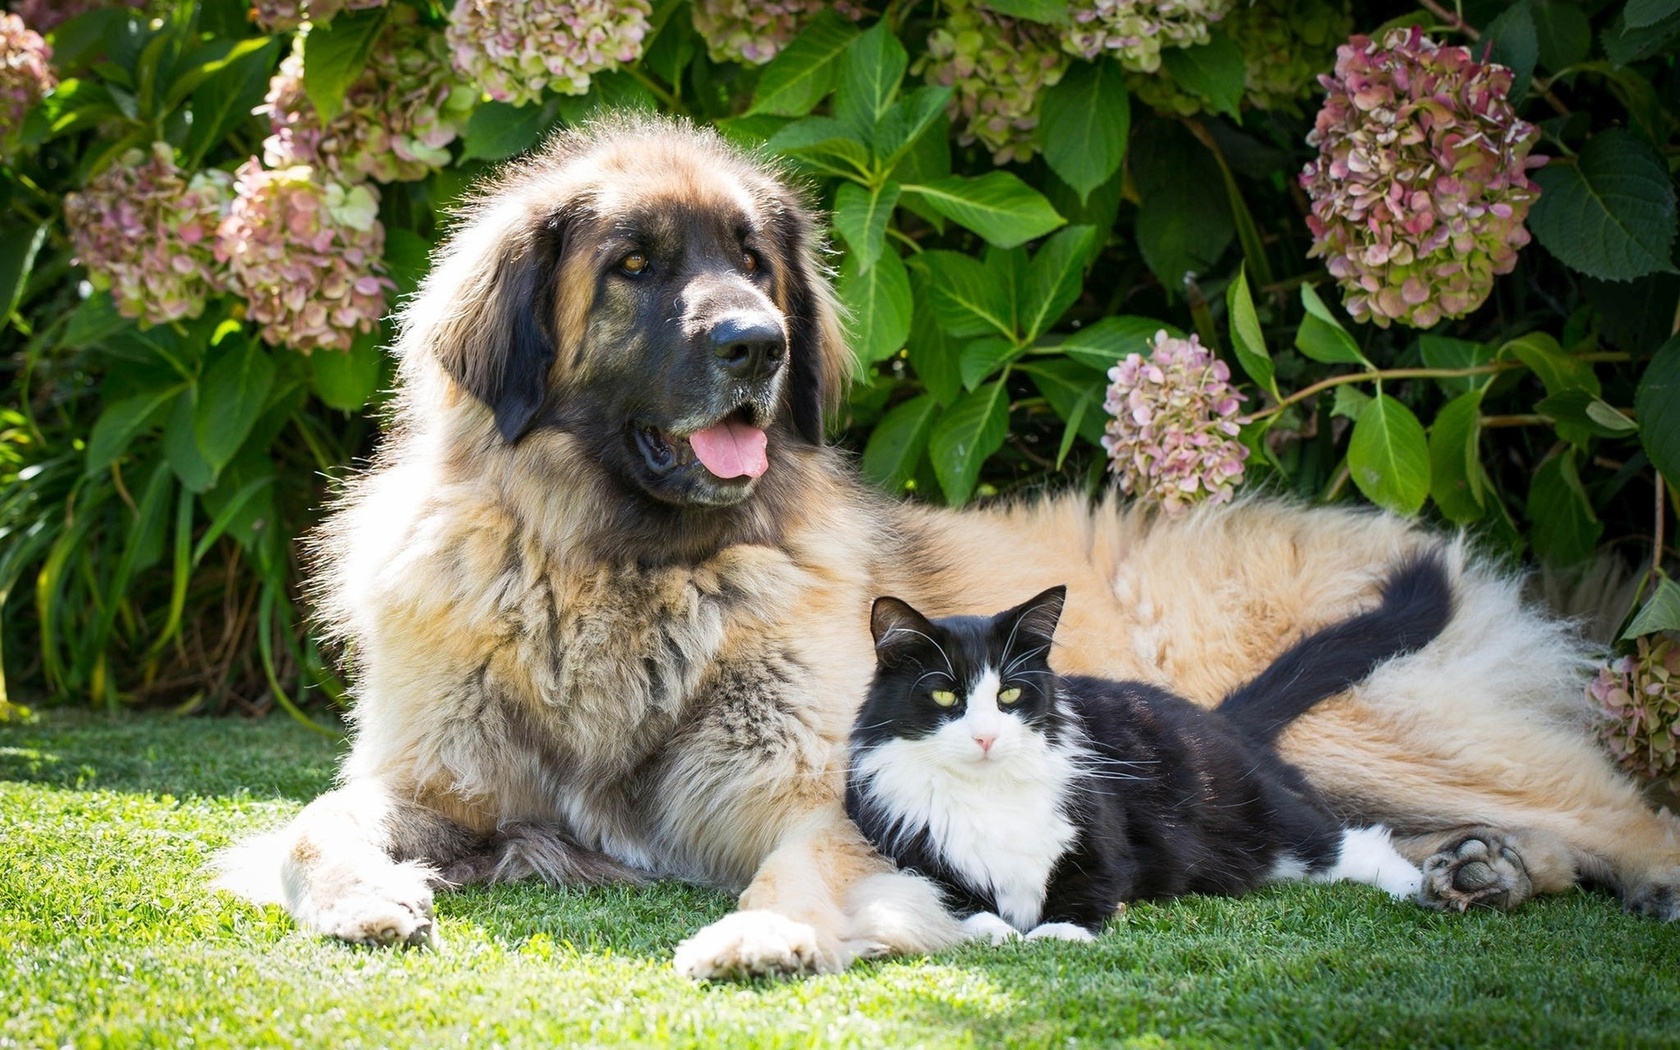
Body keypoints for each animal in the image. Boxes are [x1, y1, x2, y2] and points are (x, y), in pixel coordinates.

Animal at [846, 557, 1451, 940]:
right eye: (945, 695)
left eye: (1010, 694)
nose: (986, 736)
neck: (987, 794)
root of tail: (1213, 717)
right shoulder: (911, 854)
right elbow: (962, 904)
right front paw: (1000, 932)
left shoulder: (1103, 836)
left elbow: (1087, 886)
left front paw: (1058, 934)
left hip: (1258, 821)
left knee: (1354, 841)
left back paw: (1428, 886)